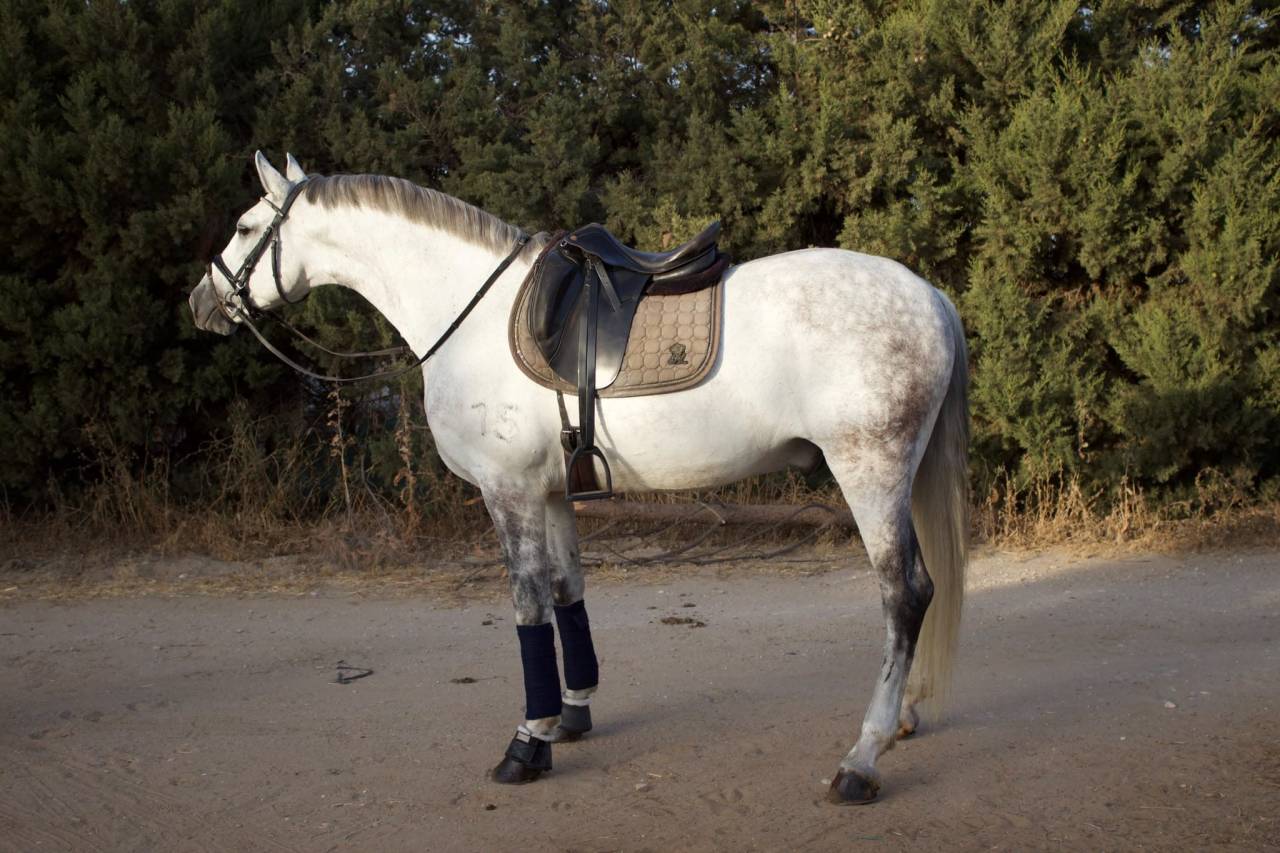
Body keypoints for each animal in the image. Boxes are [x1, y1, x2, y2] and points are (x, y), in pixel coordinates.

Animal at [189, 152, 969, 804]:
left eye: (245, 226)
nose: (201, 302)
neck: (468, 317)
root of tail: (930, 296)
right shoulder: (551, 493)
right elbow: (568, 592)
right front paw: (572, 713)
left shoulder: (507, 494)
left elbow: (528, 605)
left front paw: (527, 743)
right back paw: (903, 719)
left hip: (869, 470)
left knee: (904, 594)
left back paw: (861, 759)